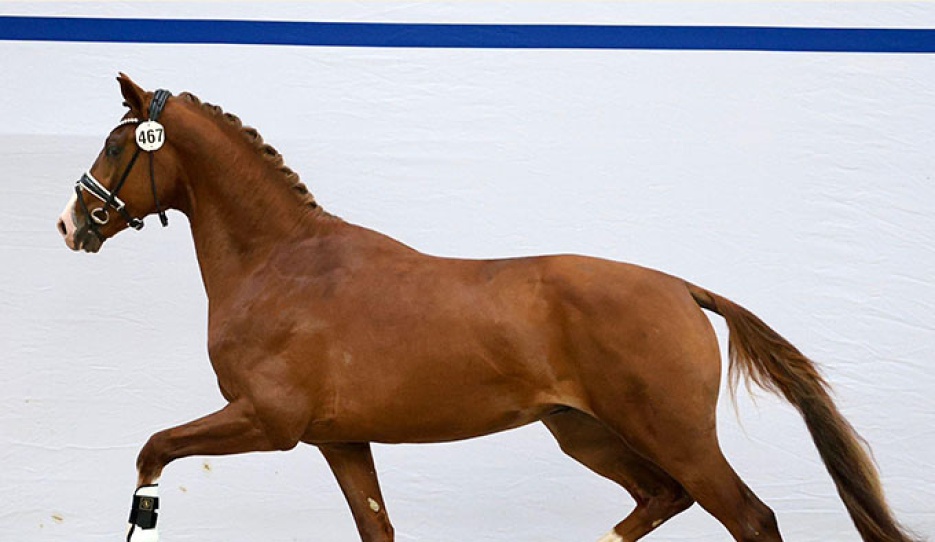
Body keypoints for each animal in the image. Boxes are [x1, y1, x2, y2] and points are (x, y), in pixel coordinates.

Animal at [55, 74, 916, 542]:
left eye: (116, 142)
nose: (70, 223)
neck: (281, 265)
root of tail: (680, 288)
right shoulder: (339, 440)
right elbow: (376, 525)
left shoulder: (267, 421)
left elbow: (153, 451)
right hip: (584, 433)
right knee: (658, 500)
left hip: (674, 435)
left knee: (748, 517)